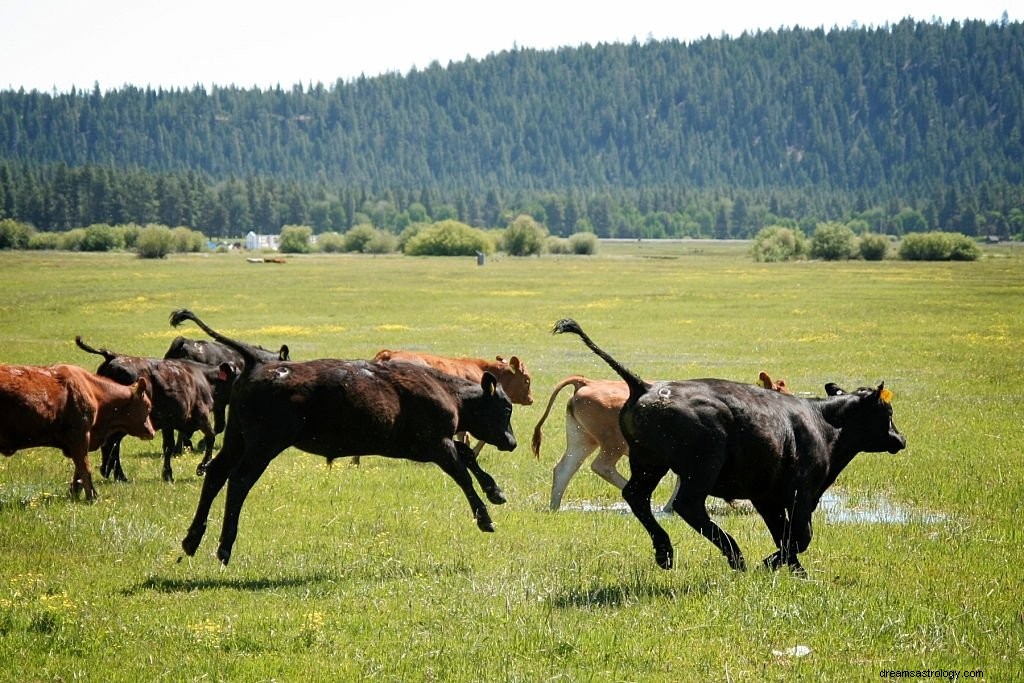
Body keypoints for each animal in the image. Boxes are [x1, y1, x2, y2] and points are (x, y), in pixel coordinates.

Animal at [0, 362, 155, 501]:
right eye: (148, 406)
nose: (151, 432)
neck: (94, 393)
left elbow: (79, 471)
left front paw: (73, 495)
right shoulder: (79, 436)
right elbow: (85, 468)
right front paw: (91, 497)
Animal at [76, 335, 225, 481]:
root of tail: (112, 356)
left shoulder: (169, 424)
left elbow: (169, 446)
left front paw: (168, 474)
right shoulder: (200, 415)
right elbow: (210, 437)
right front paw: (202, 467)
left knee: (111, 444)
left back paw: (112, 473)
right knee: (111, 444)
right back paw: (115, 474)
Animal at [172, 309, 520, 565]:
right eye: (505, 408)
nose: (512, 442)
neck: (446, 391)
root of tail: (259, 362)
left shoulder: (427, 446)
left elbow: (468, 456)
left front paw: (496, 491)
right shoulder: (436, 444)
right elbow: (462, 472)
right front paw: (485, 517)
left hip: (237, 438)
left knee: (216, 474)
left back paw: (191, 540)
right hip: (263, 445)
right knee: (239, 481)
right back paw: (224, 546)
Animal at [532, 370, 786, 509]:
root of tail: (588, 382)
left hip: (582, 440)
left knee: (565, 468)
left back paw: (555, 506)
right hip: (611, 444)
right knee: (601, 466)